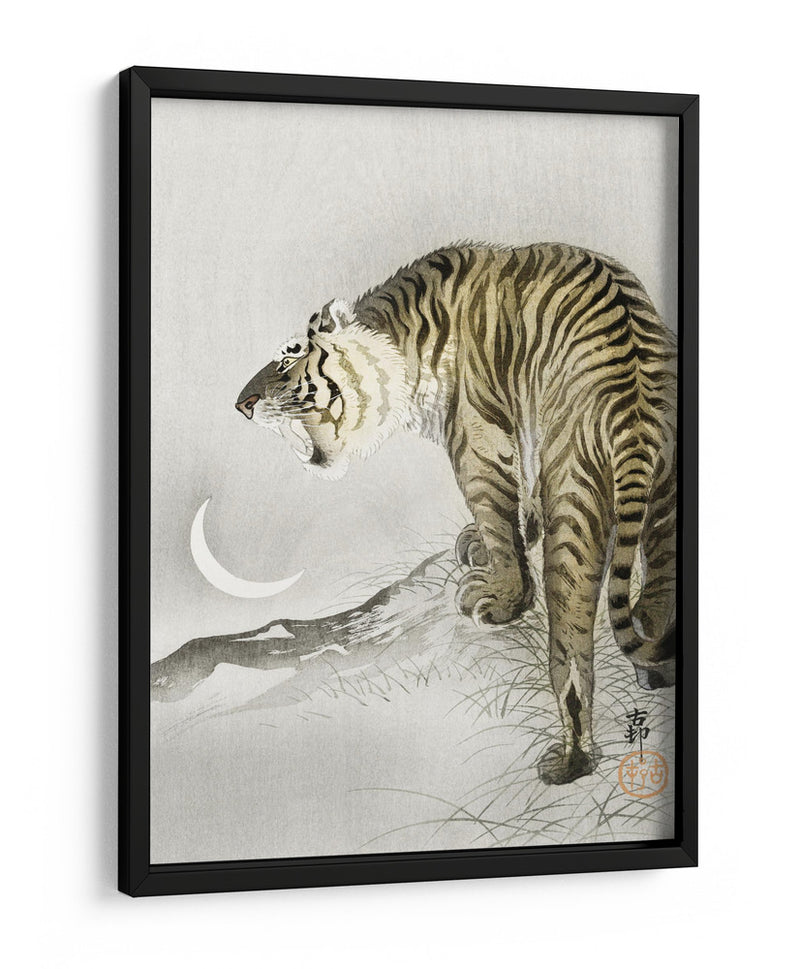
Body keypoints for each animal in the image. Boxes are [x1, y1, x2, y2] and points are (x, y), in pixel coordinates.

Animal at [236, 243, 677, 785]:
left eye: (288, 358)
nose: (242, 404)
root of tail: (635, 402)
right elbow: (520, 501)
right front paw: (489, 541)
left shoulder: (476, 439)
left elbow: (496, 515)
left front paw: (500, 597)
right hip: (666, 500)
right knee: (655, 599)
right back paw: (657, 670)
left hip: (576, 499)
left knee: (572, 651)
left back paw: (570, 760)